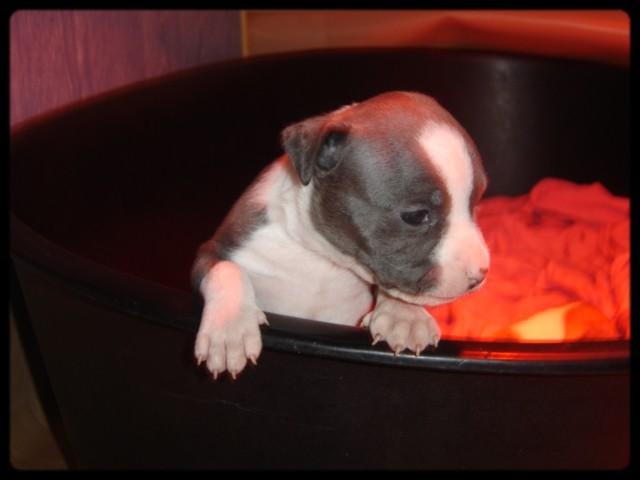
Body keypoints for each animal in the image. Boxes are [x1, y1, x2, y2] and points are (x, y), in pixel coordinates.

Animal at [192, 91, 490, 379]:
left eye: (475, 203)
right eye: (416, 216)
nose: (480, 275)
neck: (322, 258)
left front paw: (404, 316)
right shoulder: (213, 250)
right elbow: (227, 269)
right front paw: (229, 329)